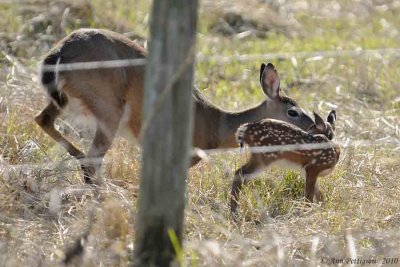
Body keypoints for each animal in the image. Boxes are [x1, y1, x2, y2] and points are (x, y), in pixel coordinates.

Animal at [35, 28, 316, 184]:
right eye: (293, 111)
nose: (315, 128)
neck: (216, 124)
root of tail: (60, 51)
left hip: (68, 101)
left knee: (42, 119)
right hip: (109, 108)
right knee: (92, 159)